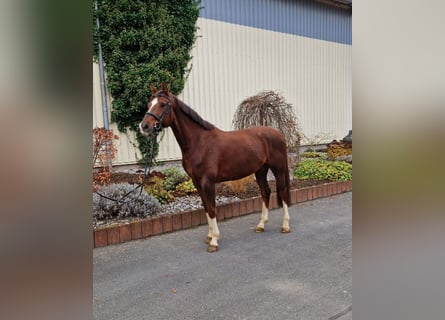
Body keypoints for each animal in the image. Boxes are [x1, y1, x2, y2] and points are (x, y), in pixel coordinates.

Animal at [140, 83, 292, 252]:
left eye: (162, 104)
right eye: (149, 104)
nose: (144, 126)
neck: (199, 142)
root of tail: (278, 133)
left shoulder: (208, 182)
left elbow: (212, 209)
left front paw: (214, 241)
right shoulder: (196, 182)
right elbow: (206, 207)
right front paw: (209, 236)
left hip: (278, 169)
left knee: (283, 192)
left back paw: (285, 226)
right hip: (260, 170)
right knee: (265, 192)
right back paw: (261, 225)